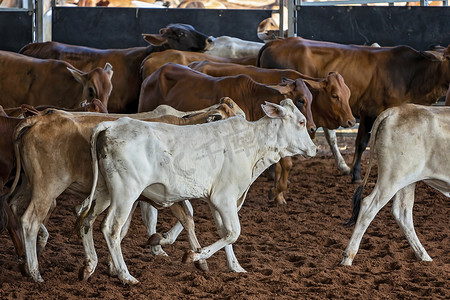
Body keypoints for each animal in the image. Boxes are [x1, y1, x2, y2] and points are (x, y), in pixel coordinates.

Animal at [77, 98, 316, 284]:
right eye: (301, 121)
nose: (315, 148)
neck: (252, 144)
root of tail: (110, 126)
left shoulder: (215, 201)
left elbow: (224, 232)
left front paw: (235, 266)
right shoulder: (225, 198)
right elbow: (233, 232)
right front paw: (194, 256)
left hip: (103, 191)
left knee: (85, 220)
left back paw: (90, 266)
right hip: (125, 194)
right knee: (111, 229)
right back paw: (126, 276)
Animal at [342, 104, 450, 266]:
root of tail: (397, 110)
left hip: (407, 181)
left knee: (402, 213)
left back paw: (424, 257)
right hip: (391, 178)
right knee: (368, 206)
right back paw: (347, 257)